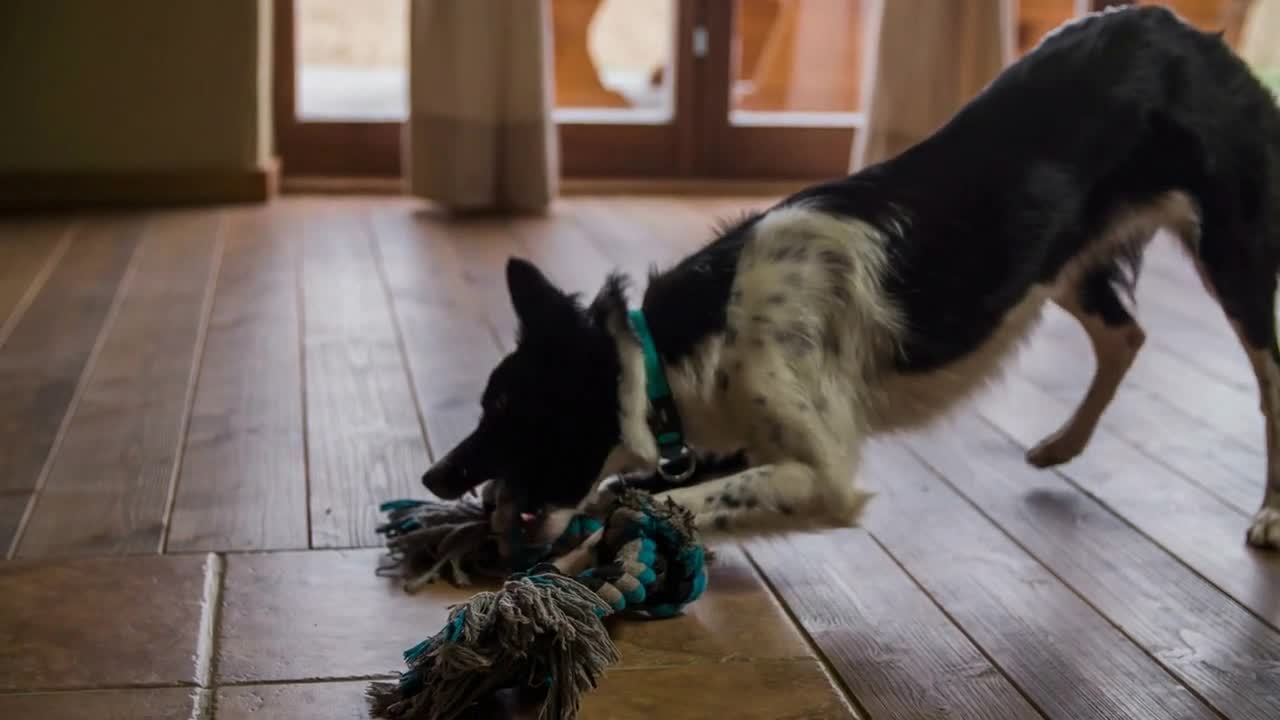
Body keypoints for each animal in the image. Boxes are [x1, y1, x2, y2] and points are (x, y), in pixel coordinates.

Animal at [419, 5, 1280, 545]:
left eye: (508, 409)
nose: (432, 476)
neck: (693, 343)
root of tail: (1181, 28)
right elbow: (640, 485)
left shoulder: (824, 470)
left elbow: (692, 497)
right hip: (1059, 258)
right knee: (1125, 335)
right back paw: (1061, 444)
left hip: (1234, 251)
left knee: (1266, 378)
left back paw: (1269, 515)